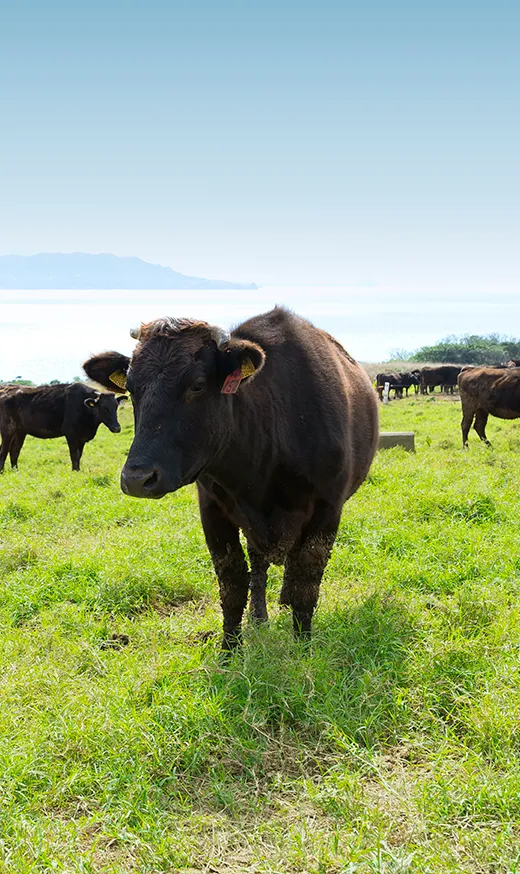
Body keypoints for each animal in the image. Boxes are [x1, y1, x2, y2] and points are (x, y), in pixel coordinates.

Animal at [83, 307, 379, 650]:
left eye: (197, 384)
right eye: (131, 389)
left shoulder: (326, 509)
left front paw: (303, 645)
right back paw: (259, 616)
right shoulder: (213, 510)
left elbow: (306, 579)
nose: (136, 478)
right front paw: (230, 647)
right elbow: (233, 581)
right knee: (259, 565)